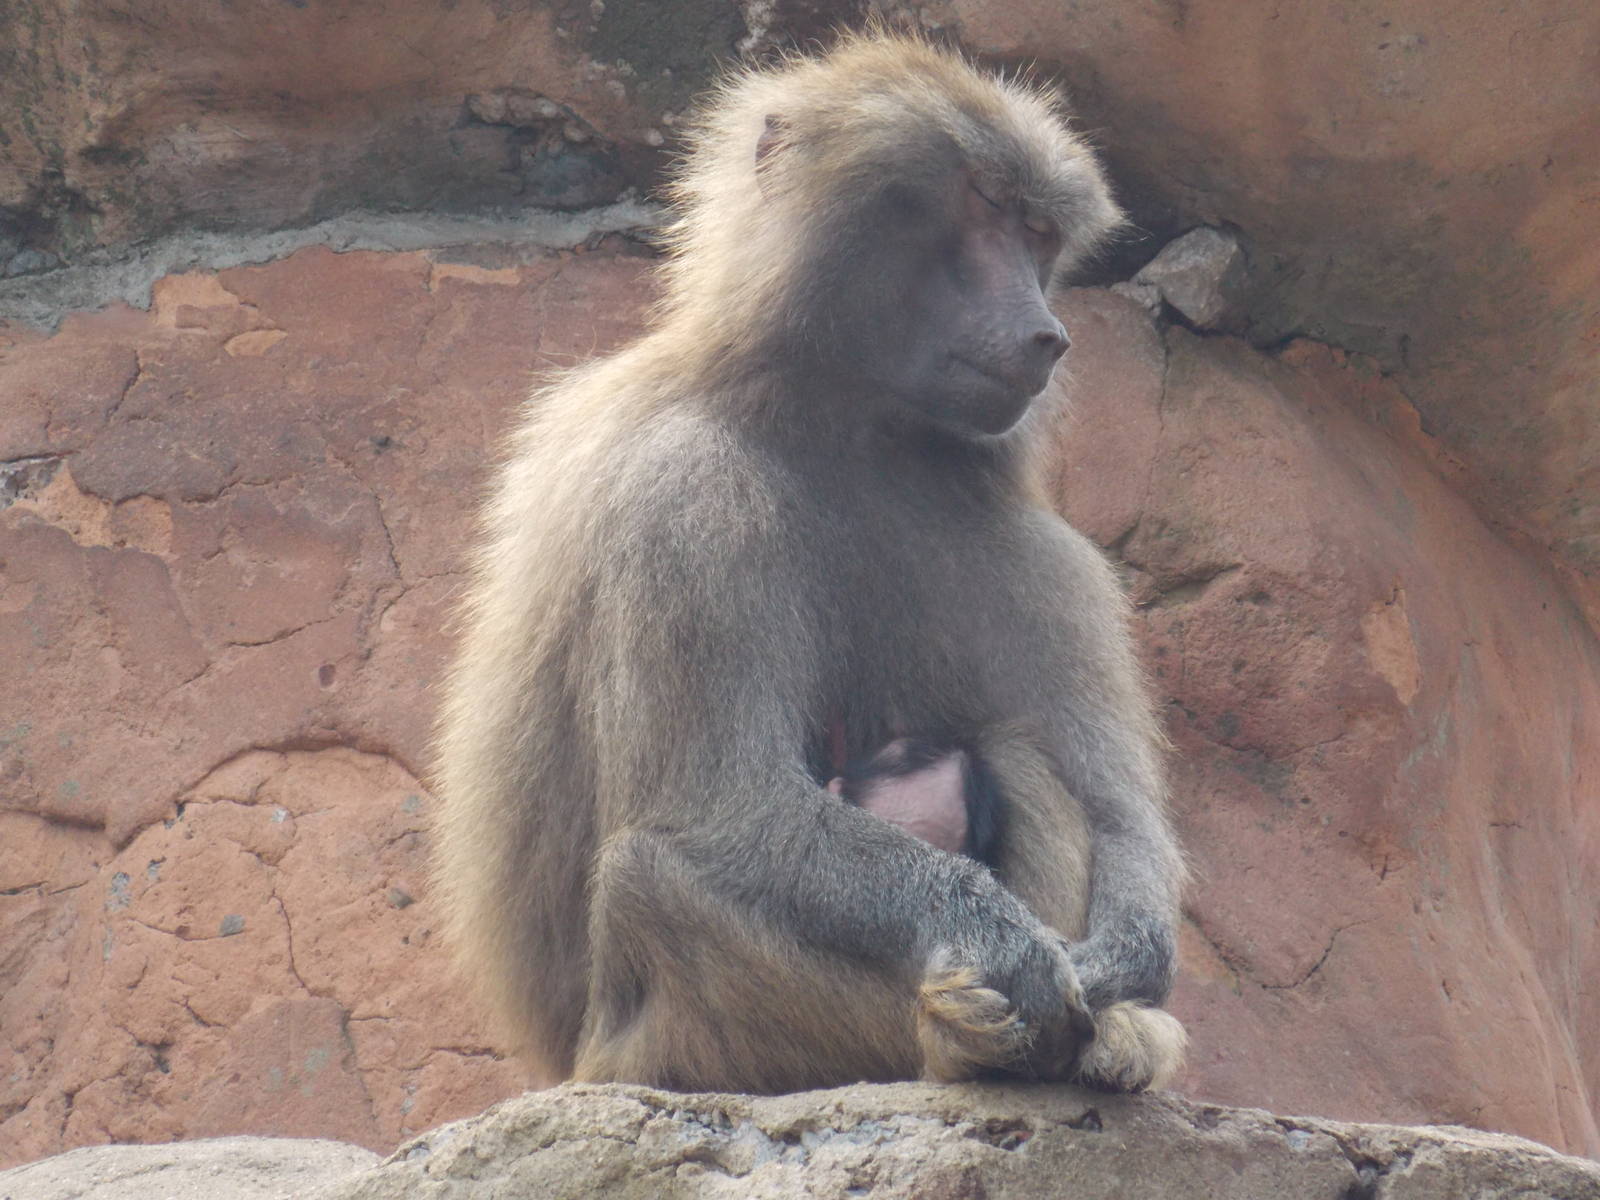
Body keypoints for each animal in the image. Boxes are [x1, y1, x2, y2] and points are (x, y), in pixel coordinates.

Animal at [433, 28, 1186, 1096]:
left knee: (1028, 765)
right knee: (651, 880)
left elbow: (1117, 815)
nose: (1047, 335)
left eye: (1039, 233)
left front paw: (1122, 963)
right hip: (649, 1052)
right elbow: (728, 806)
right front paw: (1002, 948)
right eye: (981, 208)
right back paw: (956, 1033)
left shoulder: (1034, 552)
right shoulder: (682, 497)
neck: (844, 426)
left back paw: (1100, 1039)